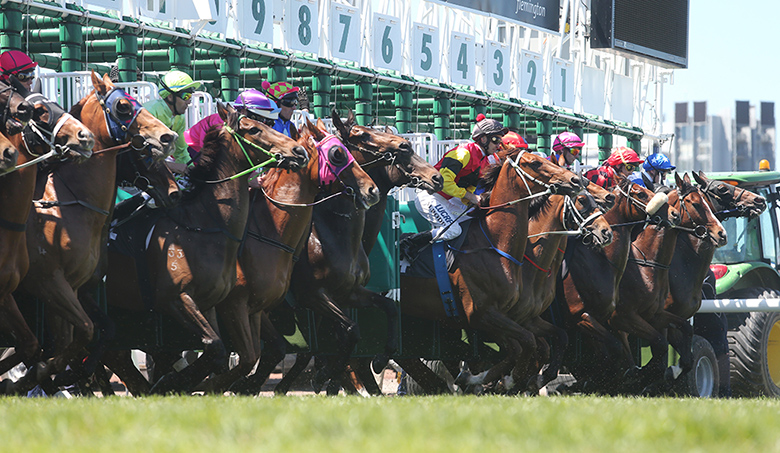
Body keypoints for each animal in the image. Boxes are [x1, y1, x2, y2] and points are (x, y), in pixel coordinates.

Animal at [103, 101, 314, 392]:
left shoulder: (217, 304)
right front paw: (176, 383)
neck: (203, 226)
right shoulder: (179, 298)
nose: (298, 152)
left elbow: (229, 353)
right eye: (254, 129)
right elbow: (218, 348)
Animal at [556, 177, 676, 392]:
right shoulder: (584, 316)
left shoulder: (600, 318)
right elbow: (617, 348)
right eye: (641, 193)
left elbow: (607, 354)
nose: (673, 213)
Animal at [612, 171, 728, 390]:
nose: (722, 234)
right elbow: (661, 350)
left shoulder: (669, 316)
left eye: (707, 201)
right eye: (695, 203)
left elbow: (682, 347)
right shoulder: (645, 317)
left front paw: (672, 371)